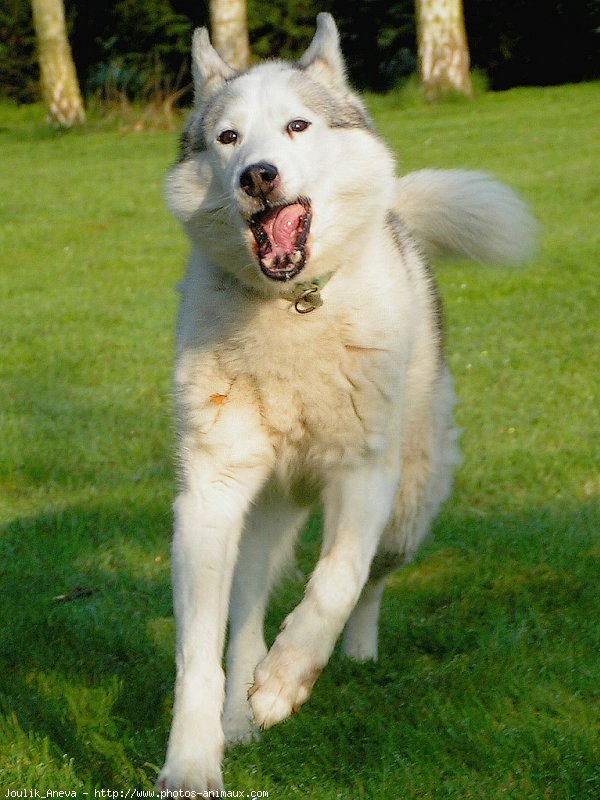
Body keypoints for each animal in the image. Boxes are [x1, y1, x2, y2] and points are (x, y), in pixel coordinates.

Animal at [156, 14, 536, 792]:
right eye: (228, 138)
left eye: (297, 126)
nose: (258, 176)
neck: (291, 308)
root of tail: (401, 223)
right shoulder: (209, 495)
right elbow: (200, 655)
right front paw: (194, 760)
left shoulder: (365, 478)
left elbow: (336, 581)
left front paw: (287, 683)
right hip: (262, 523)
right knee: (246, 618)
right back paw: (240, 717)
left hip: (407, 514)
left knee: (370, 584)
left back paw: (350, 654)